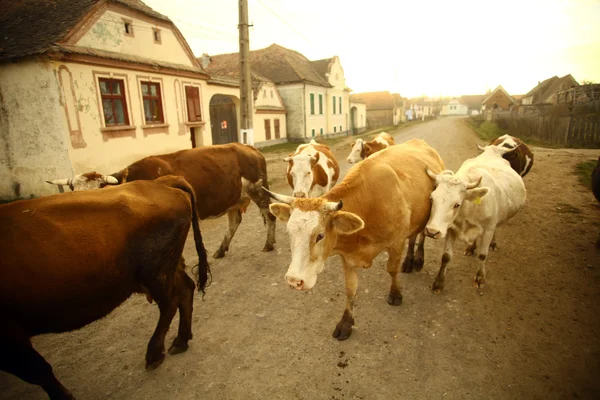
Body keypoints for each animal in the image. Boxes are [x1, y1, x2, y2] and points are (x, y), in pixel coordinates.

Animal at [0, 177, 211, 400]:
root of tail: (160, 182)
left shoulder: (10, 337)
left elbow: (39, 371)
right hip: (165, 268)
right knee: (185, 290)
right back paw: (181, 340)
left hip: (156, 273)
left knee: (170, 303)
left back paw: (154, 353)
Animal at [48, 144, 278, 260]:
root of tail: (246, 146)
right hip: (233, 197)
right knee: (234, 222)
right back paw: (221, 250)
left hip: (257, 189)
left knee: (270, 215)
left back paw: (268, 244)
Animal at [266, 139, 446, 340]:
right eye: (289, 232)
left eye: (320, 235)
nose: (294, 281)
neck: (369, 205)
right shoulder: (348, 258)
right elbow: (350, 289)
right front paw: (346, 323)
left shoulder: (397, 244)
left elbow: (392, 270)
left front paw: (396, 294)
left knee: (420, 235)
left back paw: (416, 259)